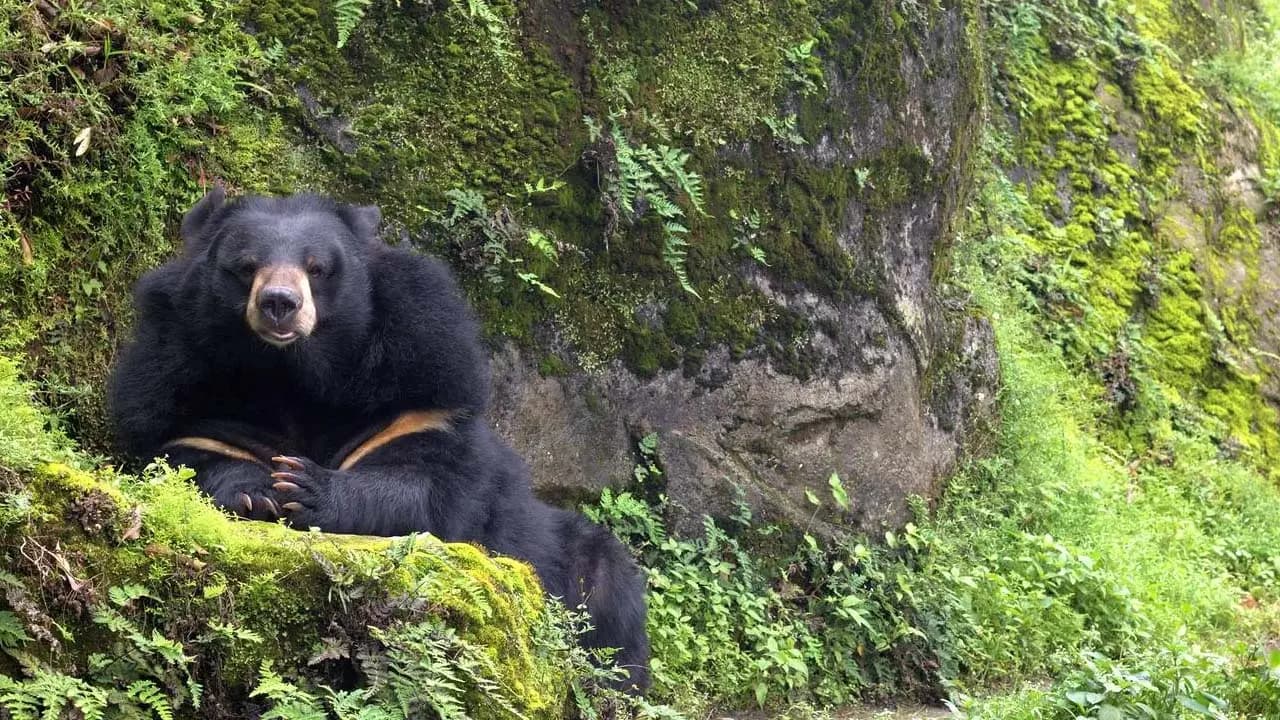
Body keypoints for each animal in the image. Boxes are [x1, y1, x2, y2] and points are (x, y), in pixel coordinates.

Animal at [106, 188, 650, 692]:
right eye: (246, 266)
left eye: (317, 268)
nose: (279, 303)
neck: (290, 376)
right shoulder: (178, 384)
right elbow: (191, 457)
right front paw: (258, 490)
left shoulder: (419, 391)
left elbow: (424, 488)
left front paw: (307, 487)